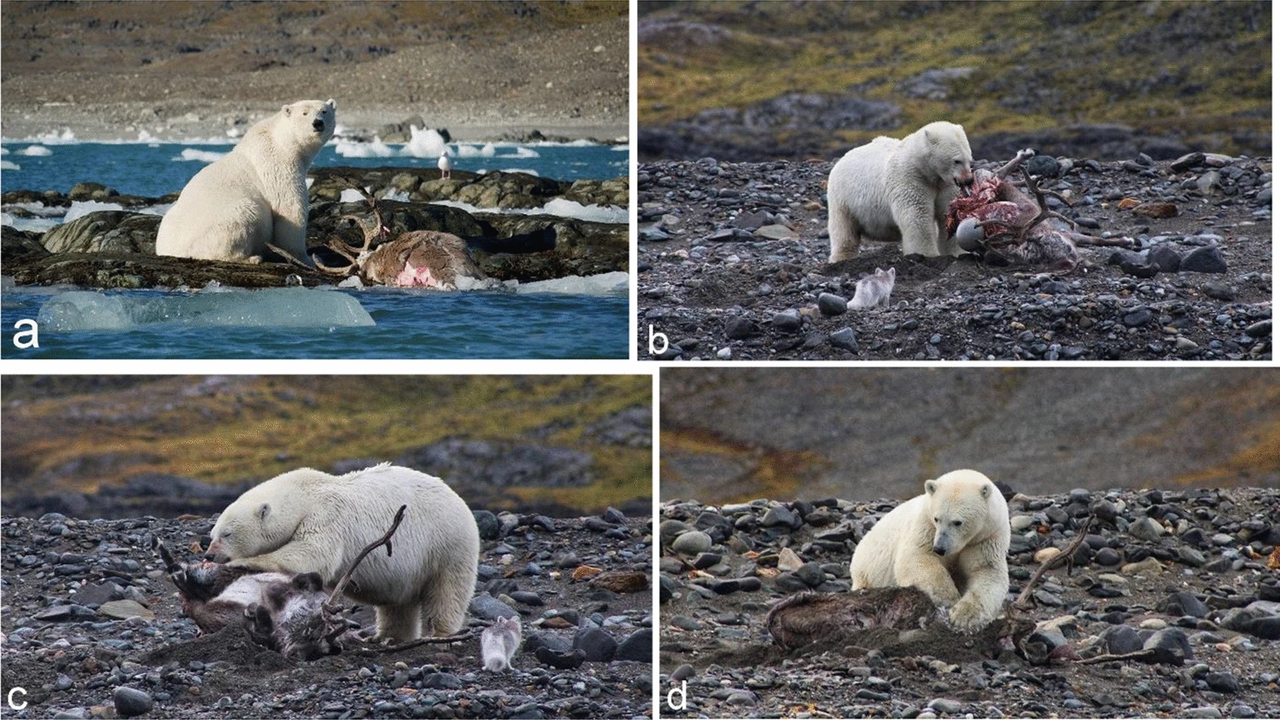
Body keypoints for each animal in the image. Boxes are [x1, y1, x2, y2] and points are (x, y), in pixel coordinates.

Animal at [155, 96, 337, 262]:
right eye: (304, 113)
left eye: (324, 111)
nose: (318, 123)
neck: (281, 142)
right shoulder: (277, 166)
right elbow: (290, 207)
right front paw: (306, 258)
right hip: (224, 221)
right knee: (247, 215)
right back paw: (250, 257)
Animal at [209, 461, 481, 640]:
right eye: (213, 534)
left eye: (227, 534)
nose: (209, 554)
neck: (302, 495)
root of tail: (459, 500)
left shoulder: (326, 516)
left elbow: (312, 553)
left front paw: (244, 562)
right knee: (398, 604)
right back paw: (386, 637)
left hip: (448, 546)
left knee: (448, 592)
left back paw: (440, 632)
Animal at [824, 120, 972, 260]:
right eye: (957, 161)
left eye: (969, 159)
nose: (968, 180)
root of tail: (843, 158)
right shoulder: (909, 177)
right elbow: (917, 213)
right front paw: (926, 255)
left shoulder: (945, 184)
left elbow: (949, 212)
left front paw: (958, 252)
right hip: (843, 196)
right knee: (843, 227)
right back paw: (842, 256)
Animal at [849, 466, 1008, 627]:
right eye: (937, 518)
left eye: (958, 522)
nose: (939, 549)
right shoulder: (926, 525)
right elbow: (917, 556)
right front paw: (948, 597)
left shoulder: (986, 537)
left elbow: (986, 571)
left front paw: (964, 615)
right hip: (867, 571)